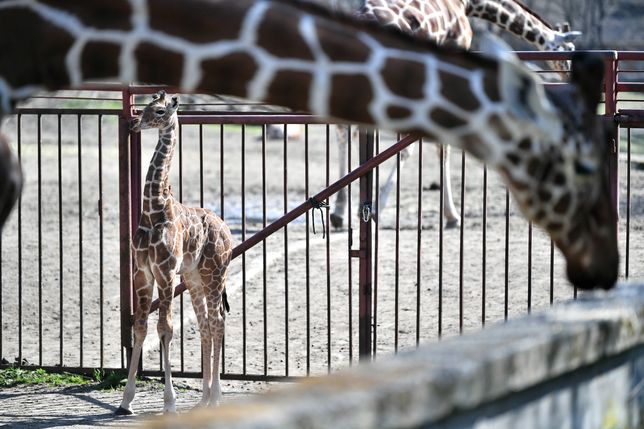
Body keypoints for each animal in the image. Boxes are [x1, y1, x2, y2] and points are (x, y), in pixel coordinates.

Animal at [118, 91, 234, 414]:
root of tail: (227, 230)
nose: (134, 124)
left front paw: (169, 402)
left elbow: (166, 328)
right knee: (206, 323)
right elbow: (141, 328)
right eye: (144, 107)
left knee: (218, 321)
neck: (152, 211)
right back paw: (203, 399)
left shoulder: (166, 273)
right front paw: (126, 401)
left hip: (215, 273)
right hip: (194, 278)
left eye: (159, 111)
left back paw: (216, 397)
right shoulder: (142, 273)